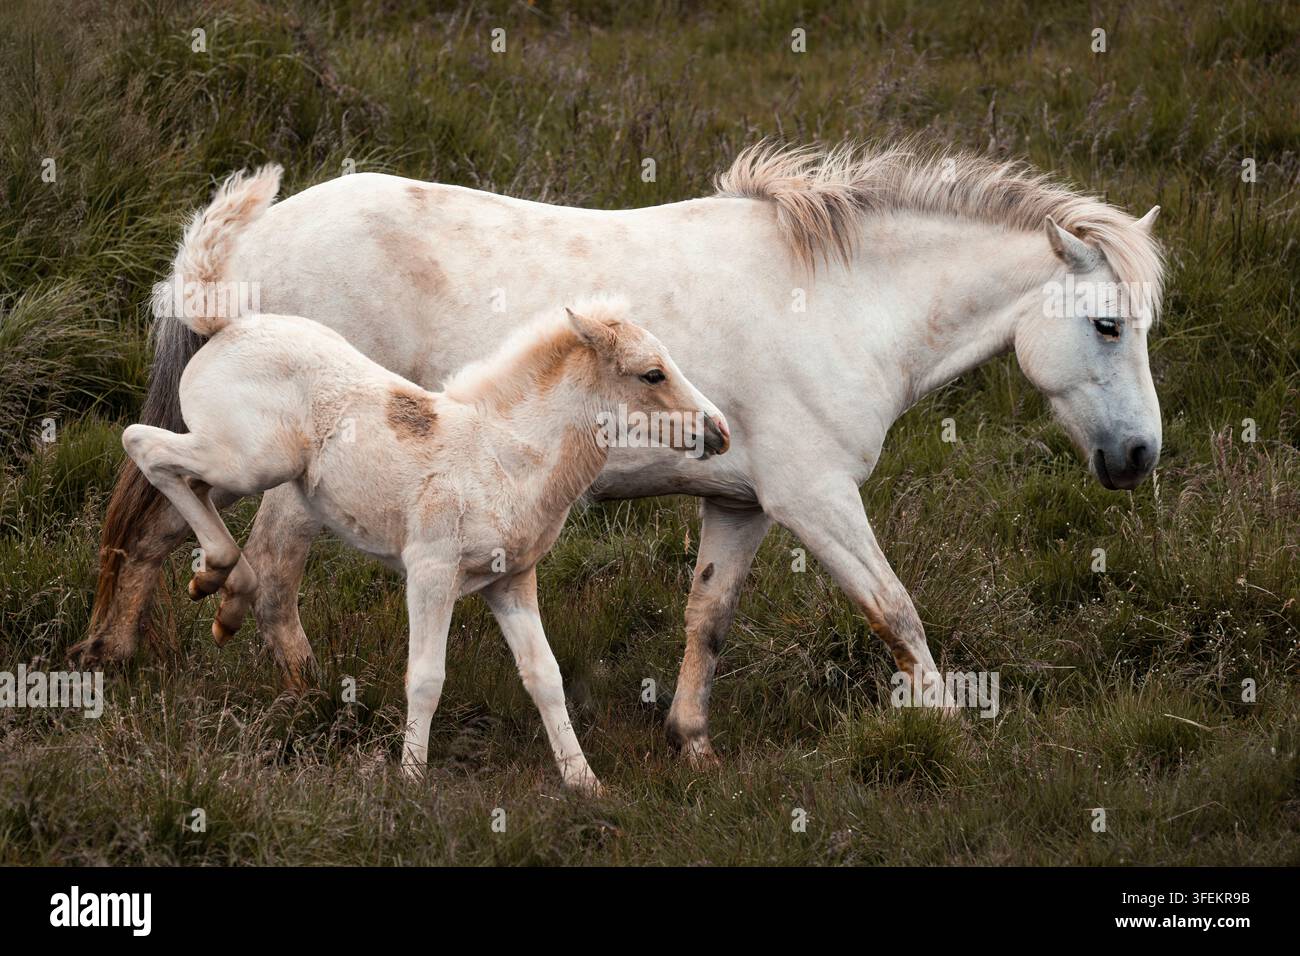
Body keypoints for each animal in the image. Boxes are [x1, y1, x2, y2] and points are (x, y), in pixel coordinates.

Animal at [121, 286, 729, 793]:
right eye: (652, 374)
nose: (719, 431)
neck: (504, 456)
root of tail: (228, 327)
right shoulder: (432, 571)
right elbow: (427, 678)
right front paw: (411, 778)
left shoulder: (511, 580)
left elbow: (546, 677)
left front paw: (585, 783)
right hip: (250, 463)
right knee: (143, 444)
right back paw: (222, 576)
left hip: (244, 470)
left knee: (183, 486)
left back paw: (222, 591)